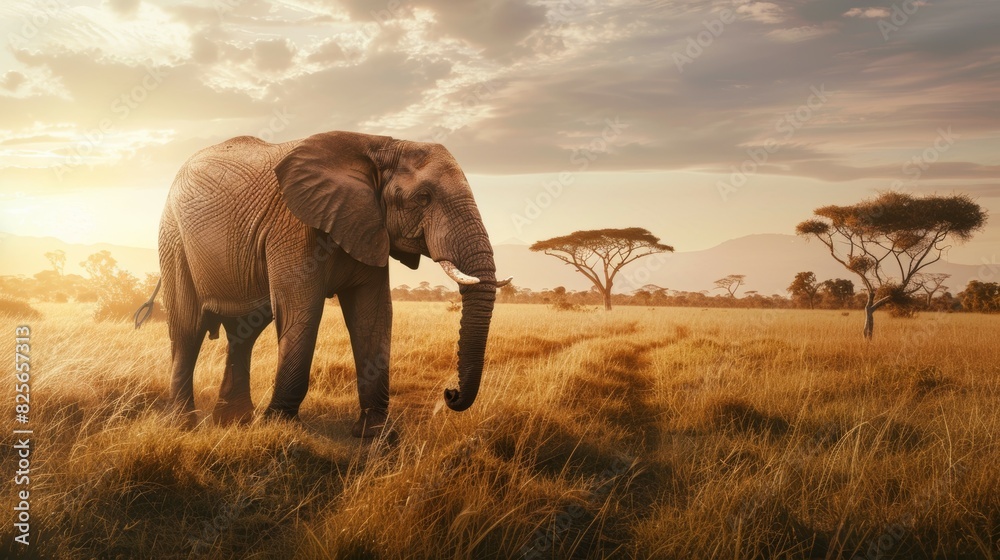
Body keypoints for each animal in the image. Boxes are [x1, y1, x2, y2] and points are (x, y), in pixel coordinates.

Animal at [136, 131, 510, 437]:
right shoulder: (294, 226)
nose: (450, 394)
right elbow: (301, 311)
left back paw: (234, 423)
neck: (379, 146)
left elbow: (372, 315)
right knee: (188, 328)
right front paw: (279, 426)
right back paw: (184, 425)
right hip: (173, 238)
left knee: (245, 332)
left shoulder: (368, 226)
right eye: (423, 198)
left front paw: (376, 434)